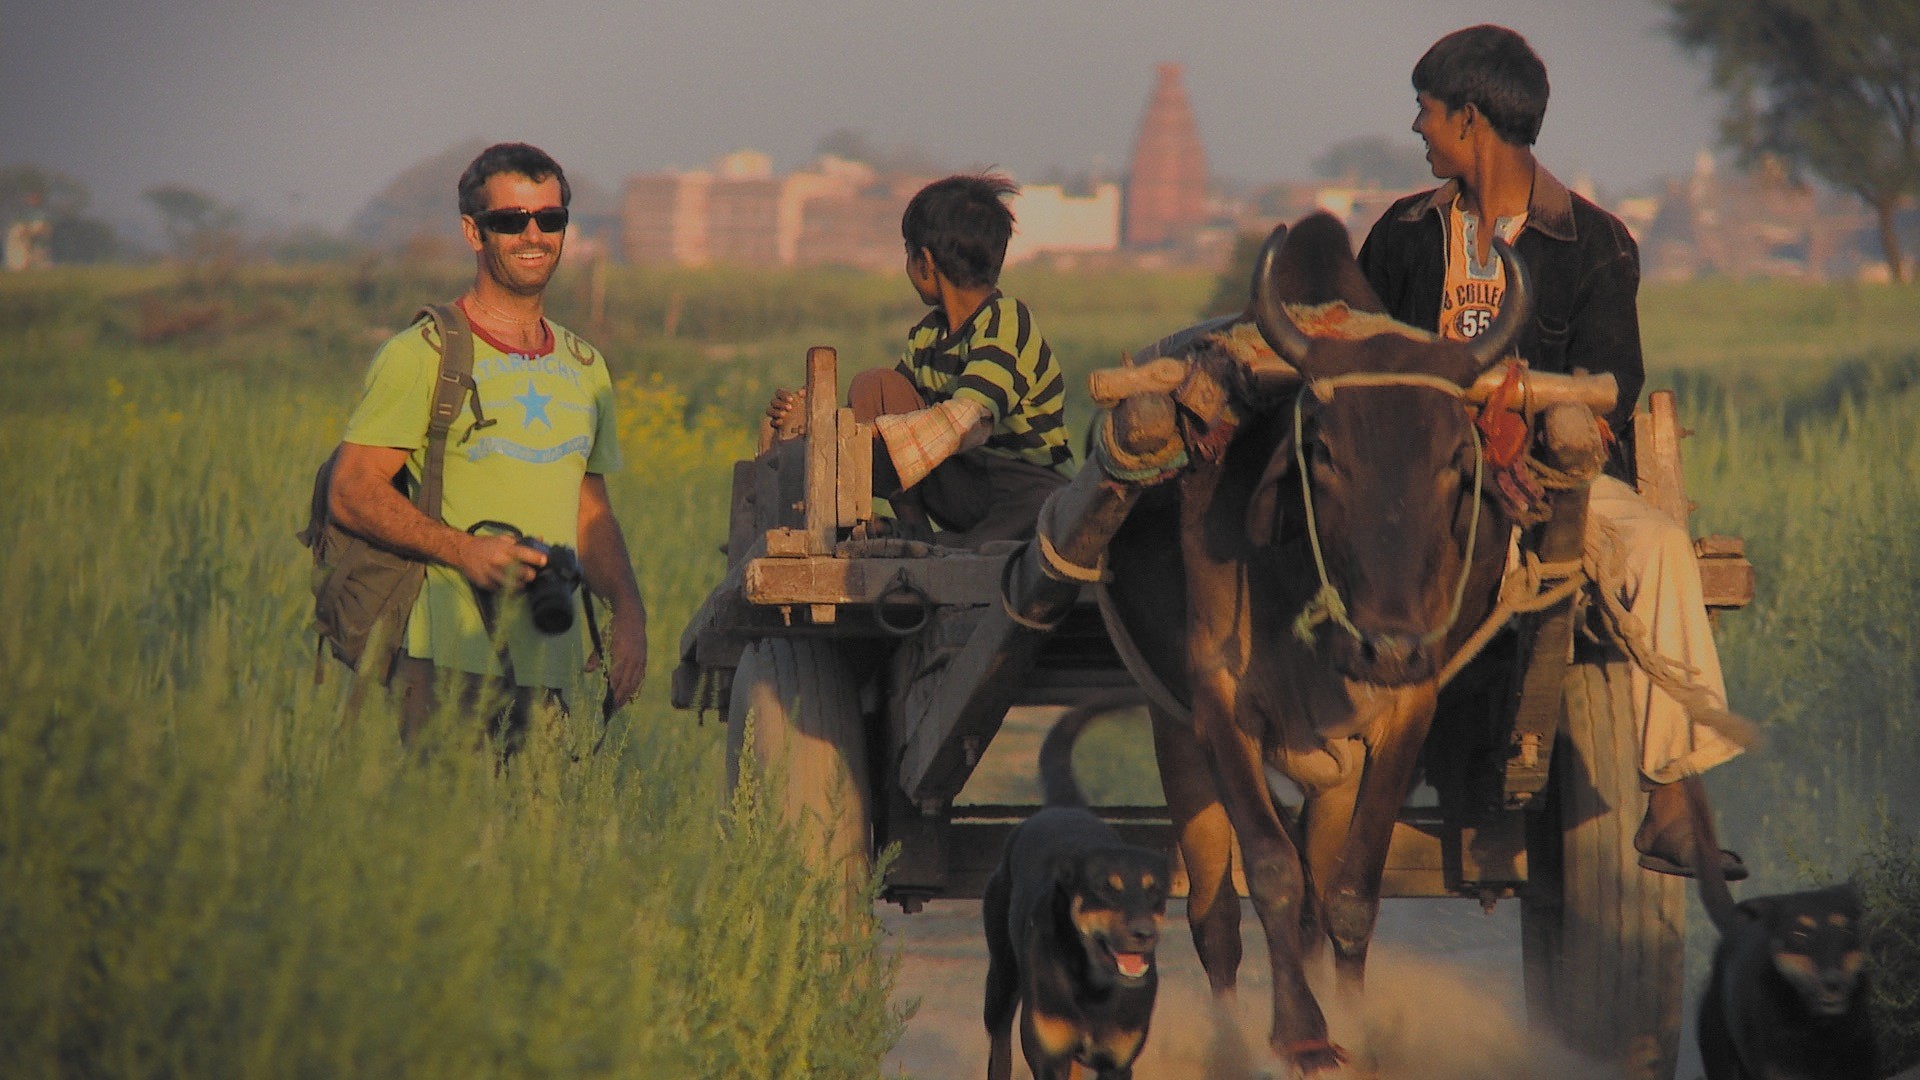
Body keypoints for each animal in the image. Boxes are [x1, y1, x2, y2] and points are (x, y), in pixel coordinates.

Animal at [990, 699, 1167, 1076]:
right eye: (1106, 888)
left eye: (1155, 892)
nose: (1143, 934)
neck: (1094, 986)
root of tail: (1065, 809)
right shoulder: (1049, 1055)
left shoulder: (1117, 1061)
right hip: (1000, 979)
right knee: (999, 1043)